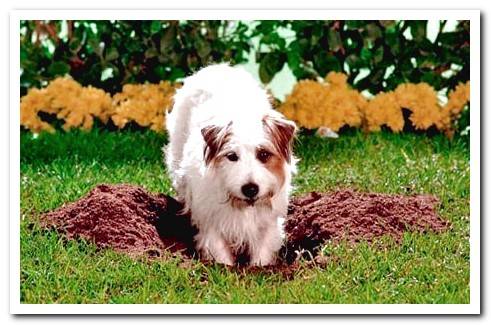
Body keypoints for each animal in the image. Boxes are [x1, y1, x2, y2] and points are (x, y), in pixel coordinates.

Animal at [164, 64, 296, 266]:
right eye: (231, 156)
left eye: (264, 154)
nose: (250, 189)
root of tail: (217, 67)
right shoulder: (211, 223)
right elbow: (220, 254)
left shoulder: (267, 224)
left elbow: (262, 255)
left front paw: (259, 268)